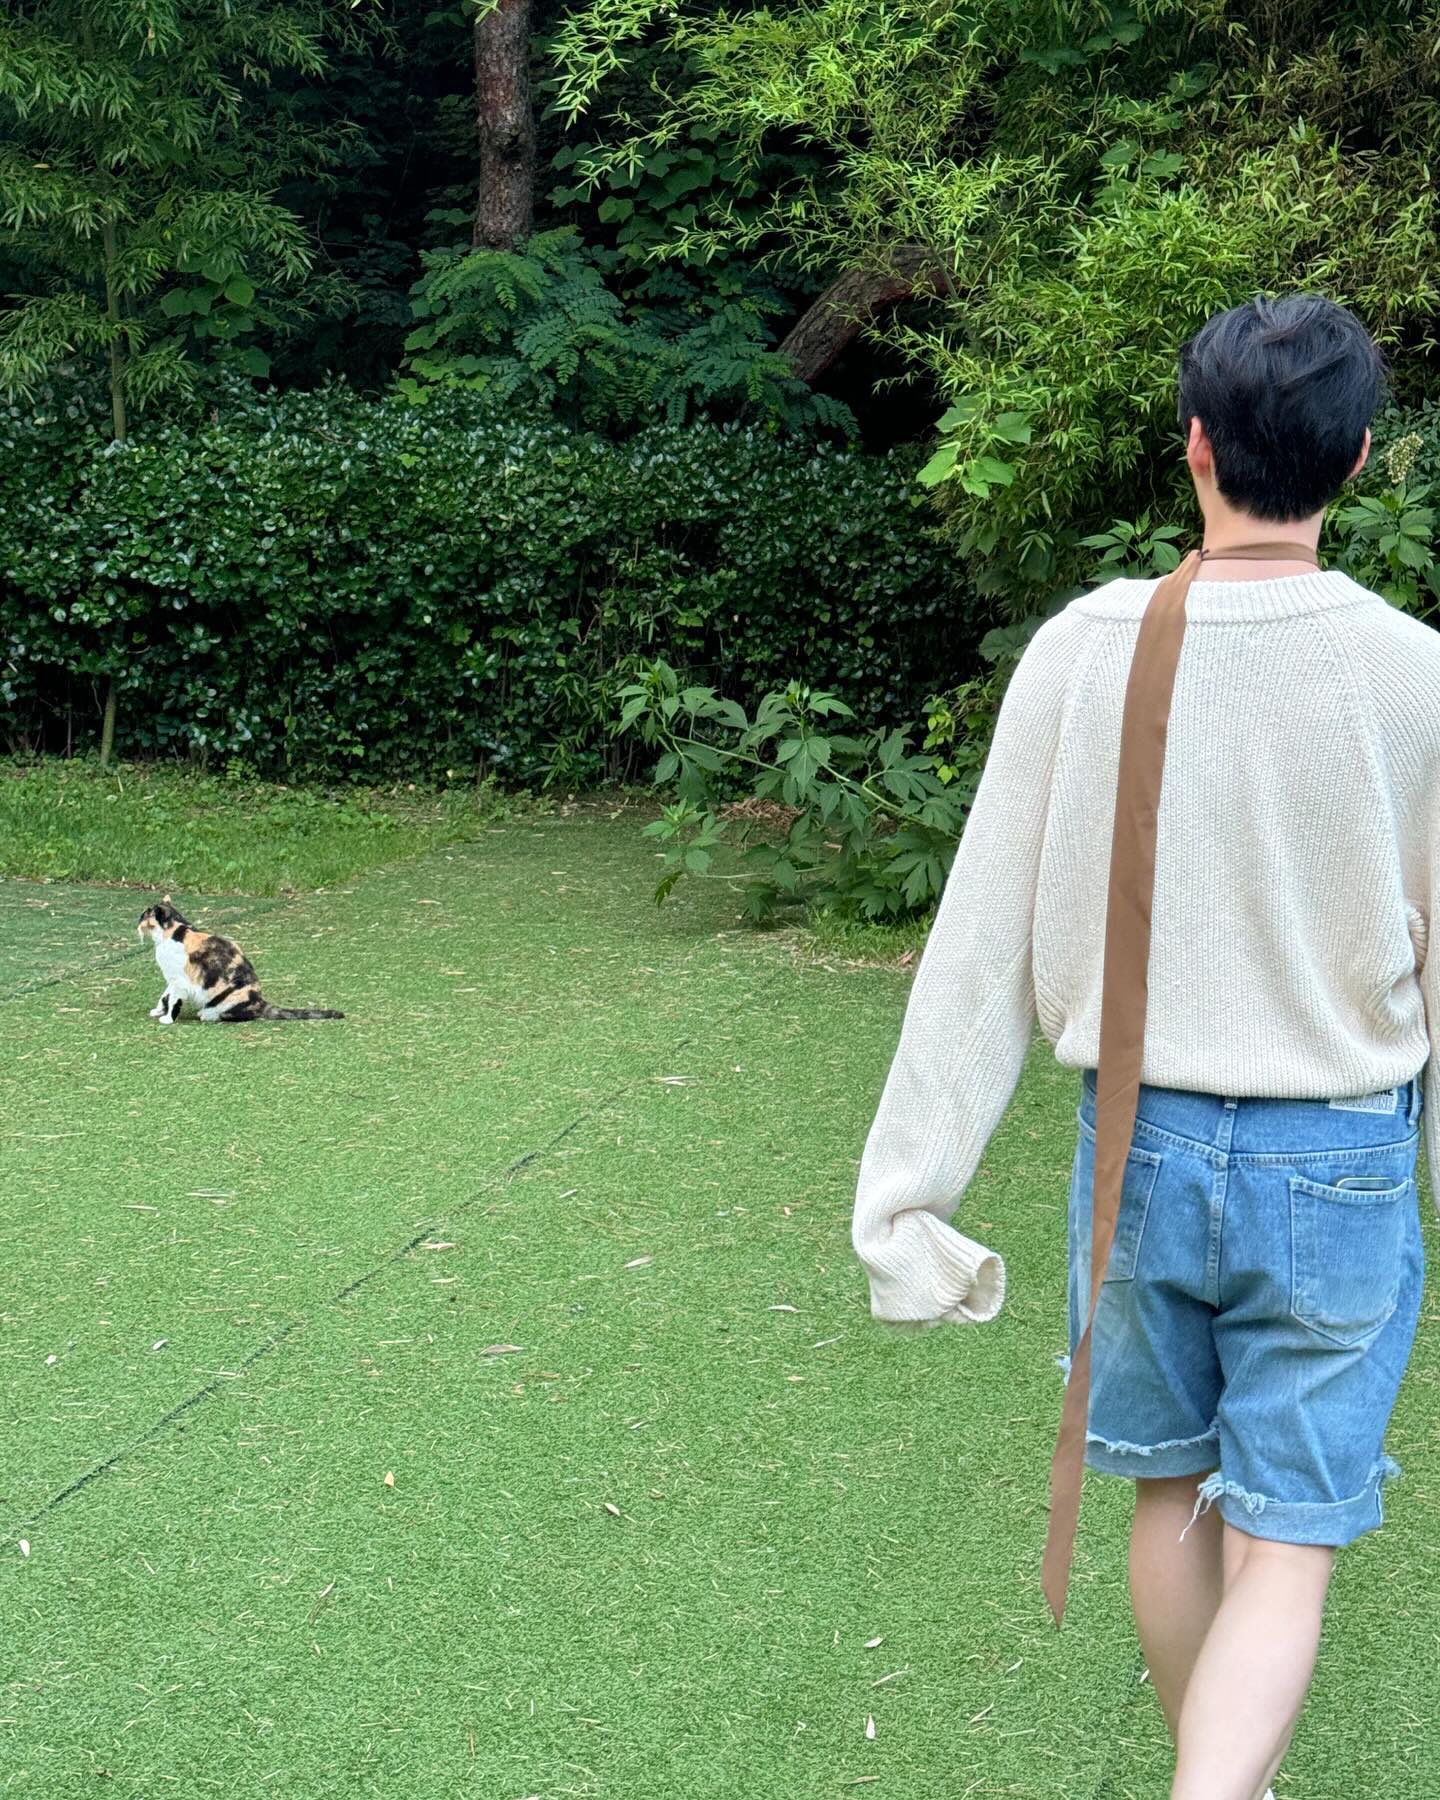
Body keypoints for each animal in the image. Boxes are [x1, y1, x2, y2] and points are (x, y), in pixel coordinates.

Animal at [137, 900, 345, 1029]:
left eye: (145, 915)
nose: (137, 919)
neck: (173, 933)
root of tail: (260, 1001)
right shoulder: (171, 979)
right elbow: (164, 996)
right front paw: (158, 1010)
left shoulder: (179, 981)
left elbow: (173, 1000)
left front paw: (167, 1018)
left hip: (229, 998)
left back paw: (207, 1014)